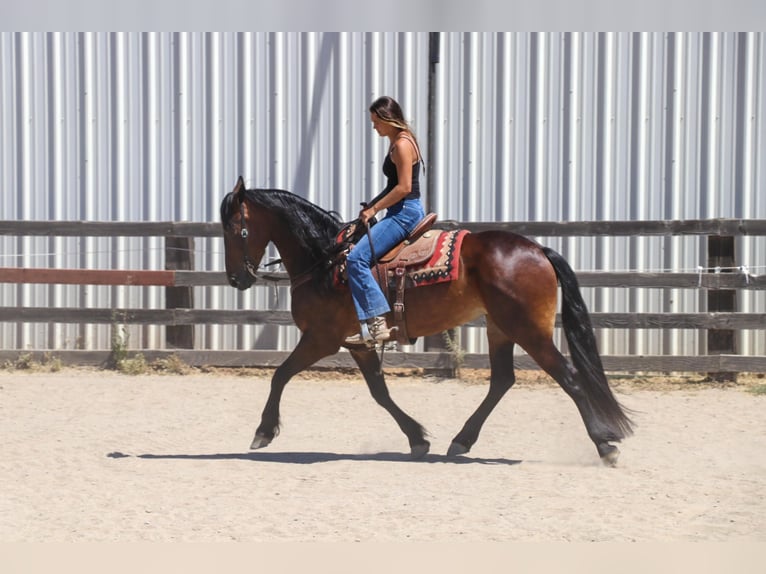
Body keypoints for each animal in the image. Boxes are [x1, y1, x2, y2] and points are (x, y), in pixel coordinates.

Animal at [220, 176, 633, 466]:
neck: (326, 259)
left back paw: (604, 445)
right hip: (500, 328)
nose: (236, 279)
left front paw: (263, 431)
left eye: (234, 229)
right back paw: (462, 440)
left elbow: (280, 375)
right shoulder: (359, 343)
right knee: (502, 380)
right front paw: (417, 438)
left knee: (569, 378)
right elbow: (380, 392)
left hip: (529, 330)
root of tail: (538, 250)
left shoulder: (320, 338)